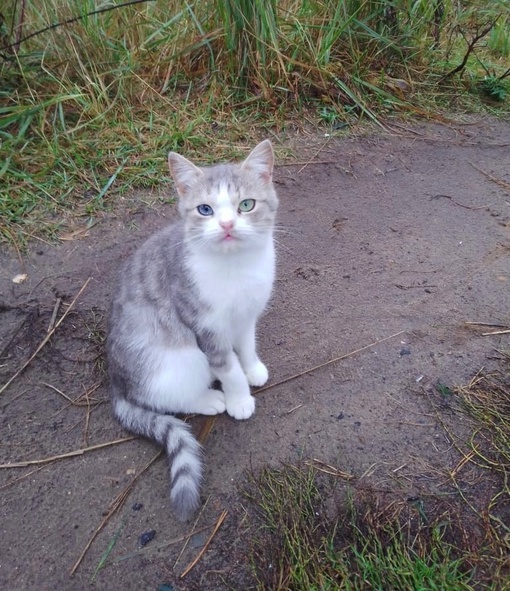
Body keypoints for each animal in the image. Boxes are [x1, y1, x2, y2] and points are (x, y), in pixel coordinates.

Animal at [105, 141, 276, 520]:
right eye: (205, 209)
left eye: (246, 205)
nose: (226, 224)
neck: (235, 267)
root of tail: (117, 383)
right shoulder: (205, 328)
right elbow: (228, 369)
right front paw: (240, 398)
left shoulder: (247, 314)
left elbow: (248, 344)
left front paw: (253, 368)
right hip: (175, 360)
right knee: (164, 396)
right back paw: (210, 399)